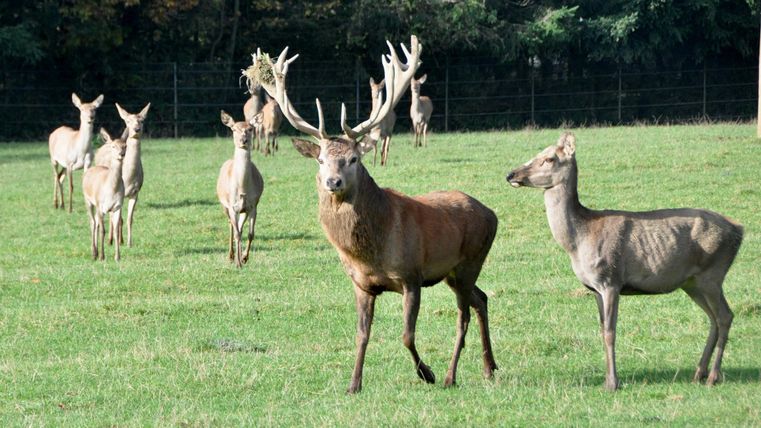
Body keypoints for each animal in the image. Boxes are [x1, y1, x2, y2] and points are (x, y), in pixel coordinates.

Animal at [83, 129, 127, 261]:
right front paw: (102, 256)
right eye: (113, 146)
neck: (111, 191)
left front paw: (117, 257)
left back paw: (96, 252)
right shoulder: (100, 205)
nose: (121, 154)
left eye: (125, 145)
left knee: (96, 223)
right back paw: (94, 253)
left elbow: (116, 230)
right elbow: (103, 230)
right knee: (93, 223)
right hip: (88, 201)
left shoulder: (117, 206)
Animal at [95, 102, 151, 248]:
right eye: (128, 121)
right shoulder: (119, 194)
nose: (136, 129)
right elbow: (118, 219)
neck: (129, 178)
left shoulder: (136, 192)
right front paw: (117, 240)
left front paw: (129, 243)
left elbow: (130, 218)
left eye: (142, 120)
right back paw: (111, 240)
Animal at [217, 110, 264, 268]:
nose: (243, 140)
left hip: (244, 210)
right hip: (224, 206)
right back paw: (231, 256)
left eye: (250, 129)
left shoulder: (253, 205)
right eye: (234, 129)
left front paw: (244, 258)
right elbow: (237, 233)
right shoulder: (232, 206)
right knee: (231, 226)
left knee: (240, 227)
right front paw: (238, 263)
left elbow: (250, 234)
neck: (242, 189)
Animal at [246, 35, 498, 393]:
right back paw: (490, 368)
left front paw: (427, 373)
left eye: (353, 159)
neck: (371, 250)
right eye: (320, 160)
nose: (333, 182)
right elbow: (361, 335)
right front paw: (353, 384)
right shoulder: (361, 284)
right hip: (454, 272)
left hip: (470, 261)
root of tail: (492, 214)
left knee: (463, 314)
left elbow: (406, 335)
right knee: (482, 298)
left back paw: (451, 376)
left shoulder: (411, 276)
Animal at [506, 132, 744, 391]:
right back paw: (699, 373)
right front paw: (607, 379)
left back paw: (713, 376)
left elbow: (610, 332)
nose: (511, 174)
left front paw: (613, 383)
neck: (578, 242)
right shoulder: (595, 288)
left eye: (549, 158)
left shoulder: (611, 280)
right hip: (692, 283)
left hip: (713, 272)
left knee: (725, 316)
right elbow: (601, 330)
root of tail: (739, 230)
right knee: (713, 318)